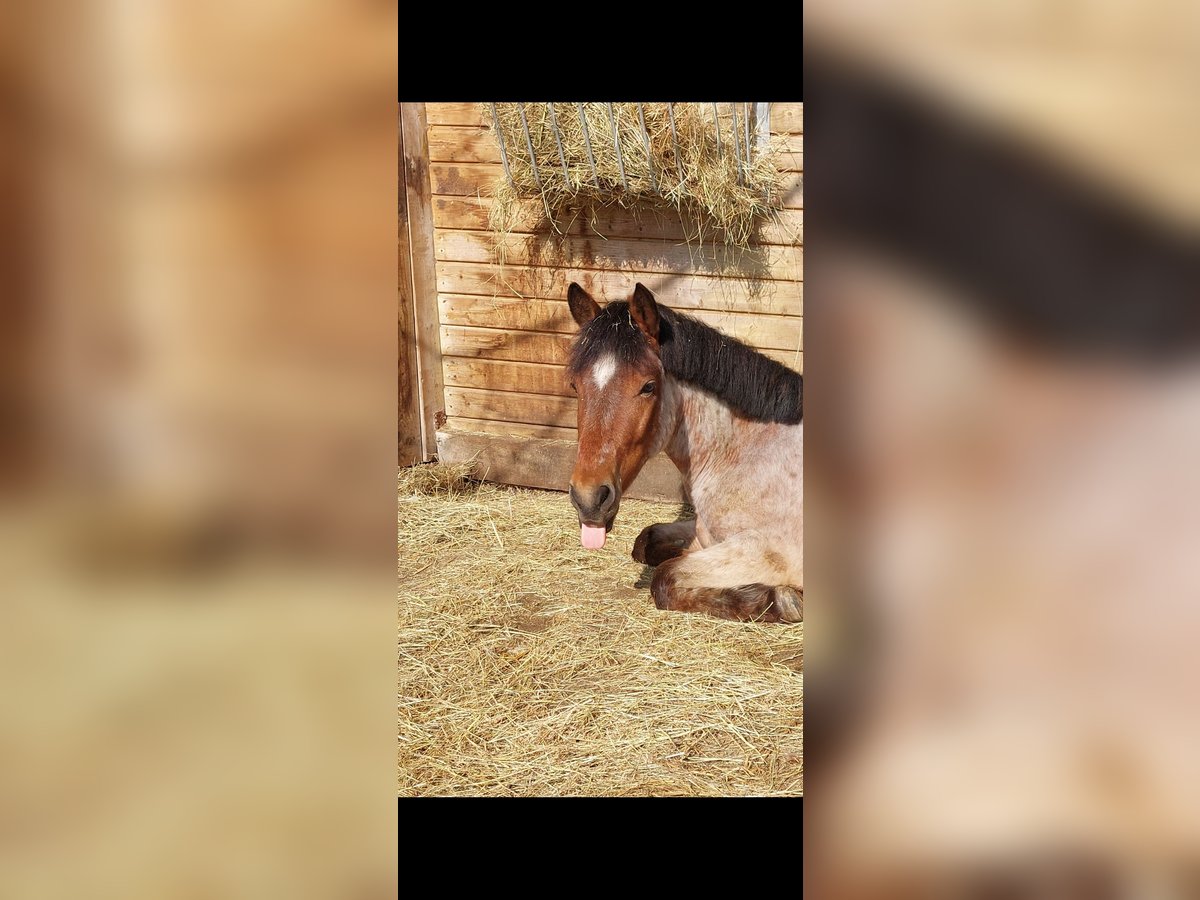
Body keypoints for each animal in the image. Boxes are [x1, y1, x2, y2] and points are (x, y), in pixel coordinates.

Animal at [564, 283, 806, 628]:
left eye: (648, 386)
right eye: (575, 386)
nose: (589, 500)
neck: (749, 452)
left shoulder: (771, 551)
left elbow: (665, 578)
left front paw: (779, 600)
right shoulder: (704, 531)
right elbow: (646, 541)